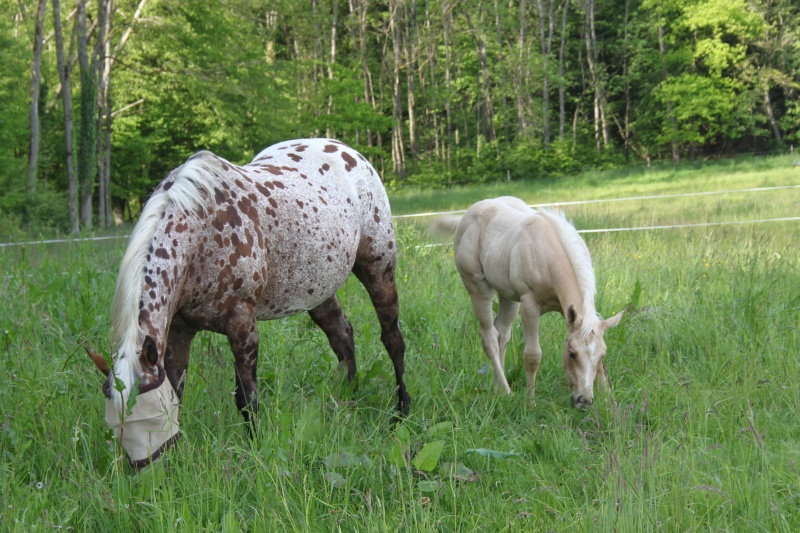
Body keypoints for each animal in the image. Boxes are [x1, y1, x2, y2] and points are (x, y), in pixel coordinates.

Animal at [90, 137, 410, 466]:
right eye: (115, 426)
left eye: (152, 418)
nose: (151, 471)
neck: (201, 231)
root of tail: (349, 151)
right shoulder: (179, 331)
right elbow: (178, 390)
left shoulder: (242, 326)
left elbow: (247, 398)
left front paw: (256, 448)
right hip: (319, 289)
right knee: (343, 336)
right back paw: (349, 397)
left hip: (379, 269)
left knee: (392, 338)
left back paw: (401, 410)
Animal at [454, 195, 620, 408]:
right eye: (572, 353)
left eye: (602, 355)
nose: (584, 400)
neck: (546, 253)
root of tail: (469, 213)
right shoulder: (530, 307)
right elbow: (532, 356)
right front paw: (530, 403)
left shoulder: (567, 312)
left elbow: (602, 367)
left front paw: (609, 402)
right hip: (478, 287)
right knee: (489, 336)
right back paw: (506, 391)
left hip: (508, 297)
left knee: (502, 334)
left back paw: (498, 388)